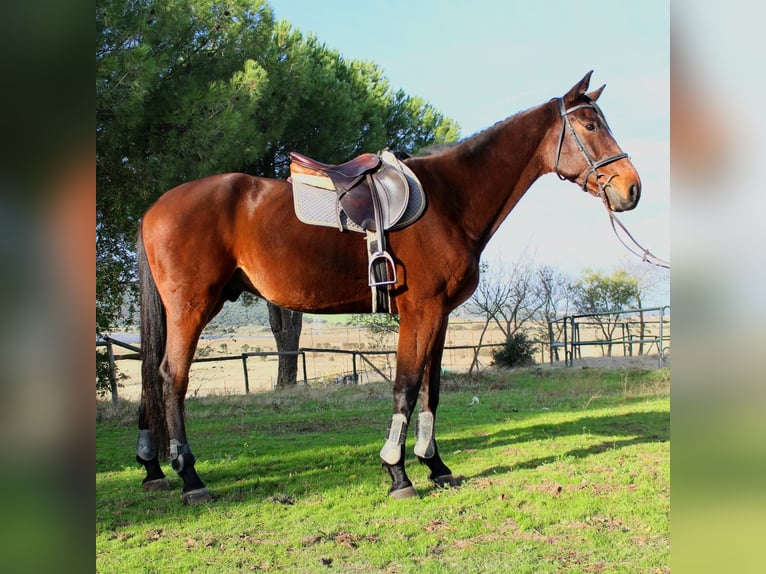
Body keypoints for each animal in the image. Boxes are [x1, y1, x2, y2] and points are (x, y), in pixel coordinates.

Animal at [135, 71, 641, 504]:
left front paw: (435, 465)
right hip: (191, 308)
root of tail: (155, 208)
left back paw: (153, 468)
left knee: (148, 375)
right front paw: (398, 473)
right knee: (171, 377)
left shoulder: (441, 316)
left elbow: (432, 390)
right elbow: (406, 387)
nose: (632, 189)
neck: (449, 200)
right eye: (591, 124)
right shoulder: (421, 311)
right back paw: (190, 477)